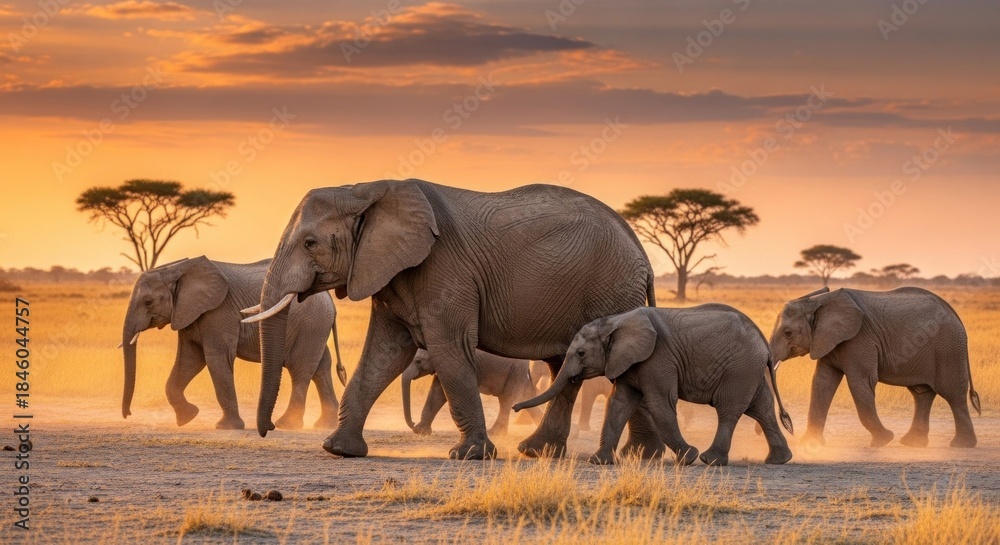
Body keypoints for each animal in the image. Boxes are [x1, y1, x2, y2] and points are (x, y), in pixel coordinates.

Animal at [119, 256, 345, 430]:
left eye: (148, 302)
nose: (128, 414)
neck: (177, 268)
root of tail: (329, 299)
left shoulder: (218, 312)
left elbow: (215, 359)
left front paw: (226, 427)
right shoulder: (188, 314)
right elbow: (190, 361)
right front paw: (187, 418)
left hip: (311, 324)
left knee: (300, 369)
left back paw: (286, 425)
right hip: (315, 327)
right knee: (321, 368)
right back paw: (325, 425)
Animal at [402, 349, 543, 436]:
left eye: (418, 361)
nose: (412, 423)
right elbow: (437, 391)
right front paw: (420, 431)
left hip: (515, 372)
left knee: (506, 401)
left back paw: (494, 433)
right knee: (525, 399)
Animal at [514, 305, 794, 467]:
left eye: (581, 353)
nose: (516, 408)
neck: (615, 321)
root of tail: (764, 345)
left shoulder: (658, 359)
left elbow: (661, 405)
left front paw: (688, 457)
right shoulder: (628, 362)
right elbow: (618, 405)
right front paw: (599, 462)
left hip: (739, 370)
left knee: (729, 410)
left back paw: (709, 459)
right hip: (750, 372)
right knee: (762, 410)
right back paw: (778, 460)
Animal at [769, 286, 981, 448]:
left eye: (788, 333)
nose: (787, 424)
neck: (817, 301)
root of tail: (955, 314)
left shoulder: (859, 339)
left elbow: (859, 383)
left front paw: (883, 441)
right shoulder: (827, 341)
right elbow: (822, 383)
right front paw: (810, 444)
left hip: (949, 349)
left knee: (953, 394)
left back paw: (961, 445)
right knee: (922, 394)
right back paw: (912, 444)